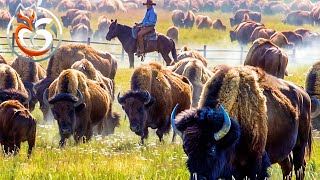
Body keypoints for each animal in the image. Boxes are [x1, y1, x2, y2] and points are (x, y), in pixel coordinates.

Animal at [172, 65, 312, 180]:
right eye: (186, 149)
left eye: (212, 149)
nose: (198, 177)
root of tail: (303, 93)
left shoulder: (255, 166)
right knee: (287, 168)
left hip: (300, 145)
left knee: (300, 168)